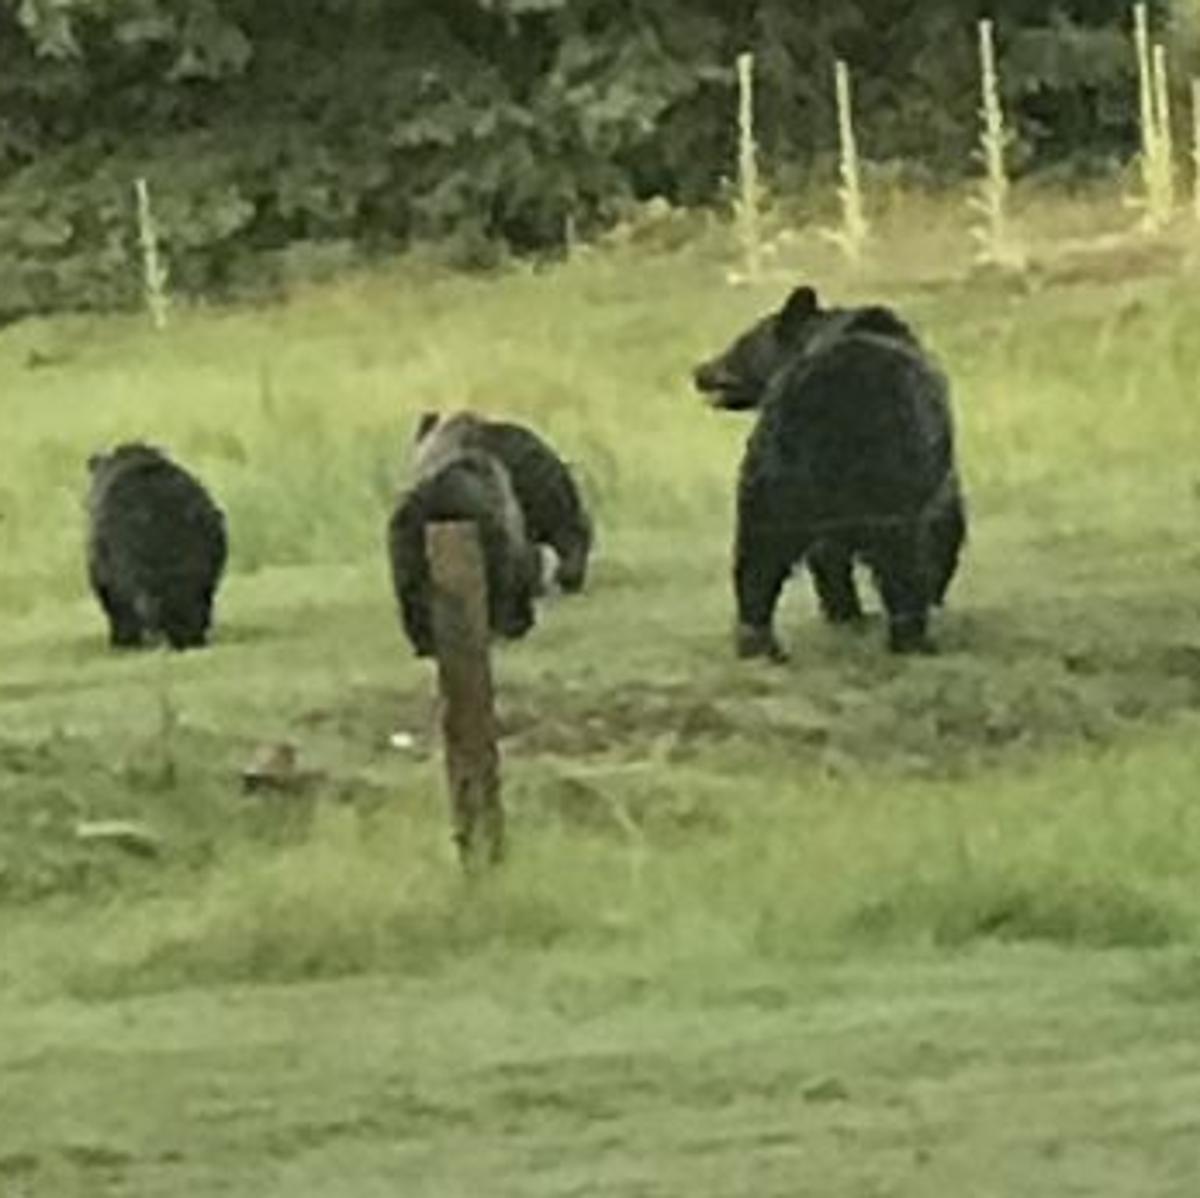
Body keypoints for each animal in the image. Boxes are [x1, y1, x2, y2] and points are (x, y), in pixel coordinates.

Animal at [692, 284, 967, 660]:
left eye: (740, 343)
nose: (699, 371)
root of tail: (814, 403)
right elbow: (945, 524)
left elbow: (826, 554)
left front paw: (844, 611)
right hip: (886, 476)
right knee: (901, 554)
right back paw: (911, 636)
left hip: (771, 473)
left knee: (757, 556)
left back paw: (758, 641)